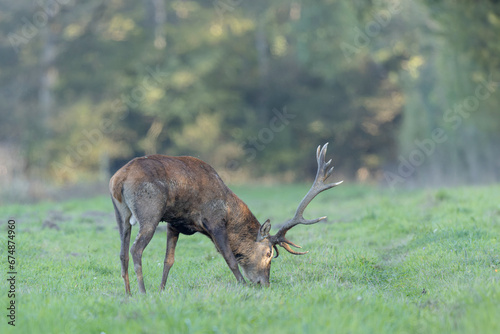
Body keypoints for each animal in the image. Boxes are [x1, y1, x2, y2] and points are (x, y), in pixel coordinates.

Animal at [110, 142, 342, 294]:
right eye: (268, 253)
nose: (264, 283)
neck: (229, 209)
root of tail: (119, 178)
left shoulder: (173, 223)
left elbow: (169, 260)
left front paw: (162, 290)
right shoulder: (214, 222)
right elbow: (229, 258)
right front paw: (243, 285)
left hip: (121, 215)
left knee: (122, 252)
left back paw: (128, 293)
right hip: (150, 211)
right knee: (135, 249)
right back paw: (142, 292)